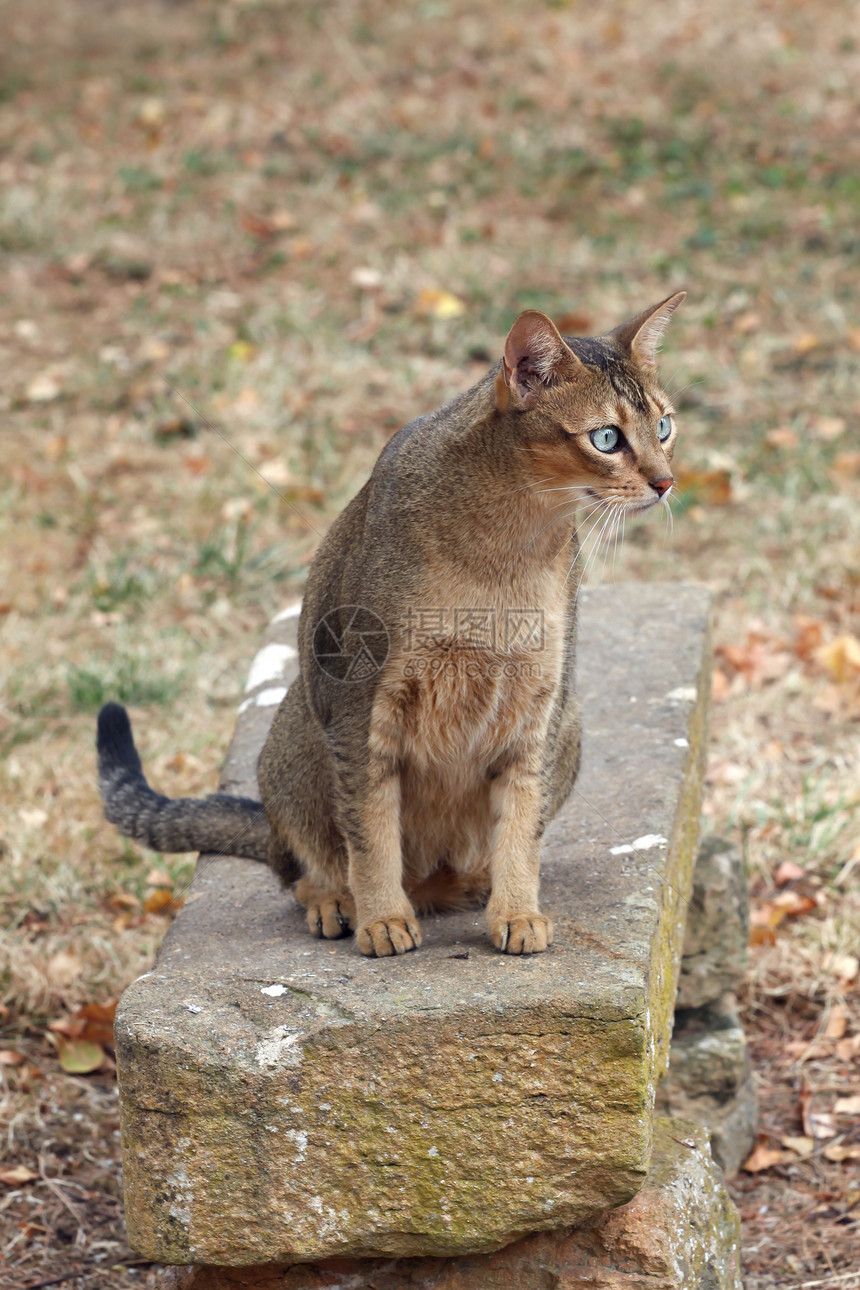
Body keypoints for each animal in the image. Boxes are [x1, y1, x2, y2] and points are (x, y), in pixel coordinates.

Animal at [96, 295, 685, 959]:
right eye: (606, 438)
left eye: (664, 427)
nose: (666, 482)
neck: (509, 545)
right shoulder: (360, 705)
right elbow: (370, 827)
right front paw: (381, 918)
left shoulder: (541, 705)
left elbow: (522, 827)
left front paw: (517, 910)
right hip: (301, 723)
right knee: (298, 864)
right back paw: (338, 902)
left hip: (572, 725)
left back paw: (471, 885)